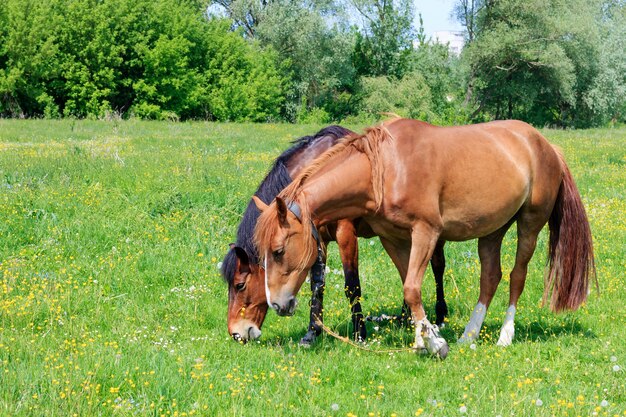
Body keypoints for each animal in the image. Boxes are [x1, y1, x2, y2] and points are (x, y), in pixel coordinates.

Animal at [221, 125, 448, 342]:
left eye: (240, 285)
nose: (236, 333)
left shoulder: (345, 234)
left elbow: (352, 285)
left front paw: (359, 333)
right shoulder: (317, 240)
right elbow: (317, 285)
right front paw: (312, 332)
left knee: (437, 267)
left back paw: (440, 316)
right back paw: (404, 318)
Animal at [251, 117, 592, 358]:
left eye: (278, 251)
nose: (278, 304)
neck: (385, 169)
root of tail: (546, 145)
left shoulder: (426, 232)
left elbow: (413, 288)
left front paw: (435, 343)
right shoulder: (394, 238)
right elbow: (409, 285)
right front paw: (421, 338)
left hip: (529, 224)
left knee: (516, 275)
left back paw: (504, 336)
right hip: (493, 229)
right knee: (490, 277)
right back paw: (469, 335)